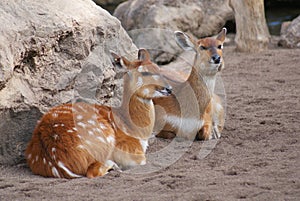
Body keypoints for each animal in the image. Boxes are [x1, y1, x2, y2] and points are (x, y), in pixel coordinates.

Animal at [24, 49, 172, 179]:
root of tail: (56, 162)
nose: (169, 88)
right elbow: (142, 160)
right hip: (104, 137)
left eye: (159, 69)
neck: (135, 130)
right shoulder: (129, 149)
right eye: (145, 73)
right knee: (92, 172)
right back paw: (113, 166)